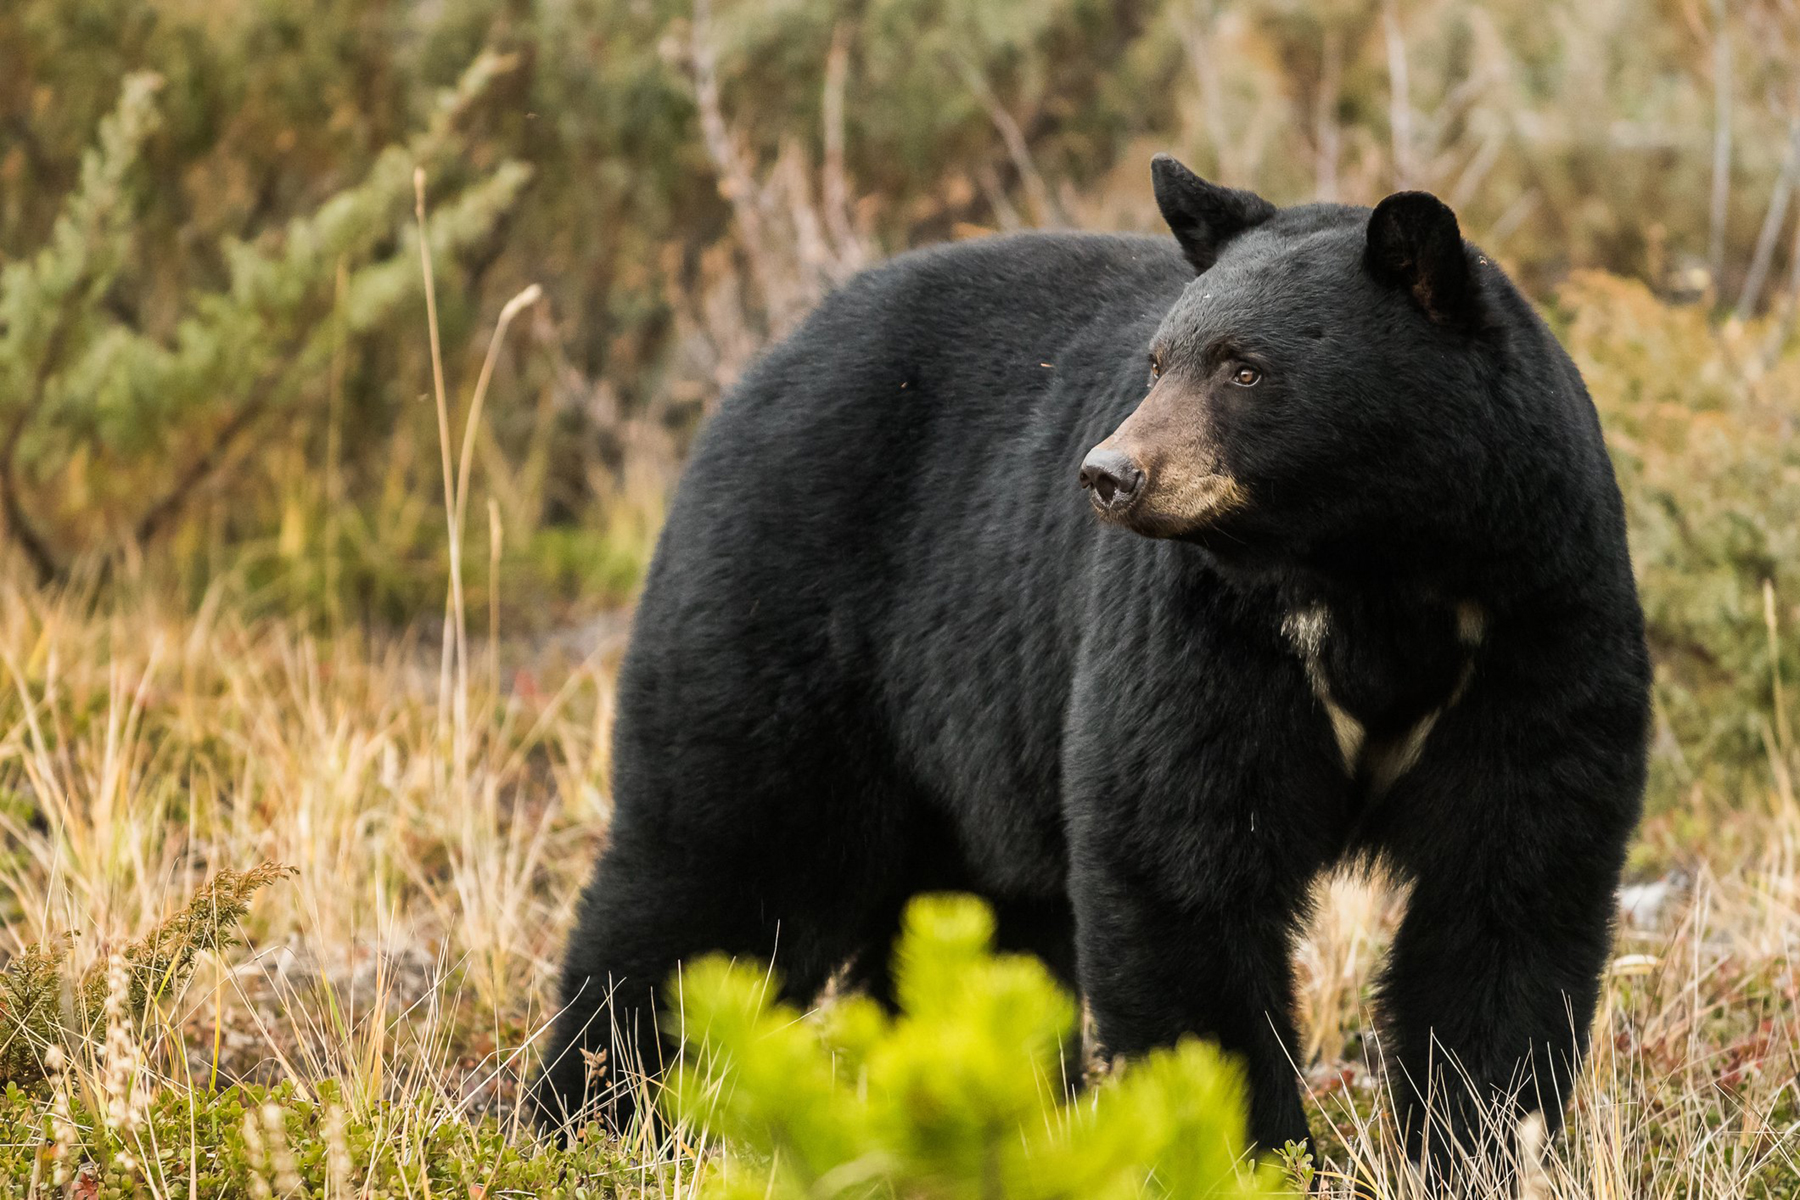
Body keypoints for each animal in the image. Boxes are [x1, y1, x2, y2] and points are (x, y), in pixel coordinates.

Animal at [529, 154, 1648, 1180]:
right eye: (1157, 360)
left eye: (1246, 367)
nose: (1111, 474)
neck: (1373, 572)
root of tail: (767, 358)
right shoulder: (1205, 633)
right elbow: (1180, 868)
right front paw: (1241, 1148)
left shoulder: (1537, 615)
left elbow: (1509, 889)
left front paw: (1485, 1147)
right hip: (788, 596)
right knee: (721, 865)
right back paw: (595, 1115)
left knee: (976, 926)